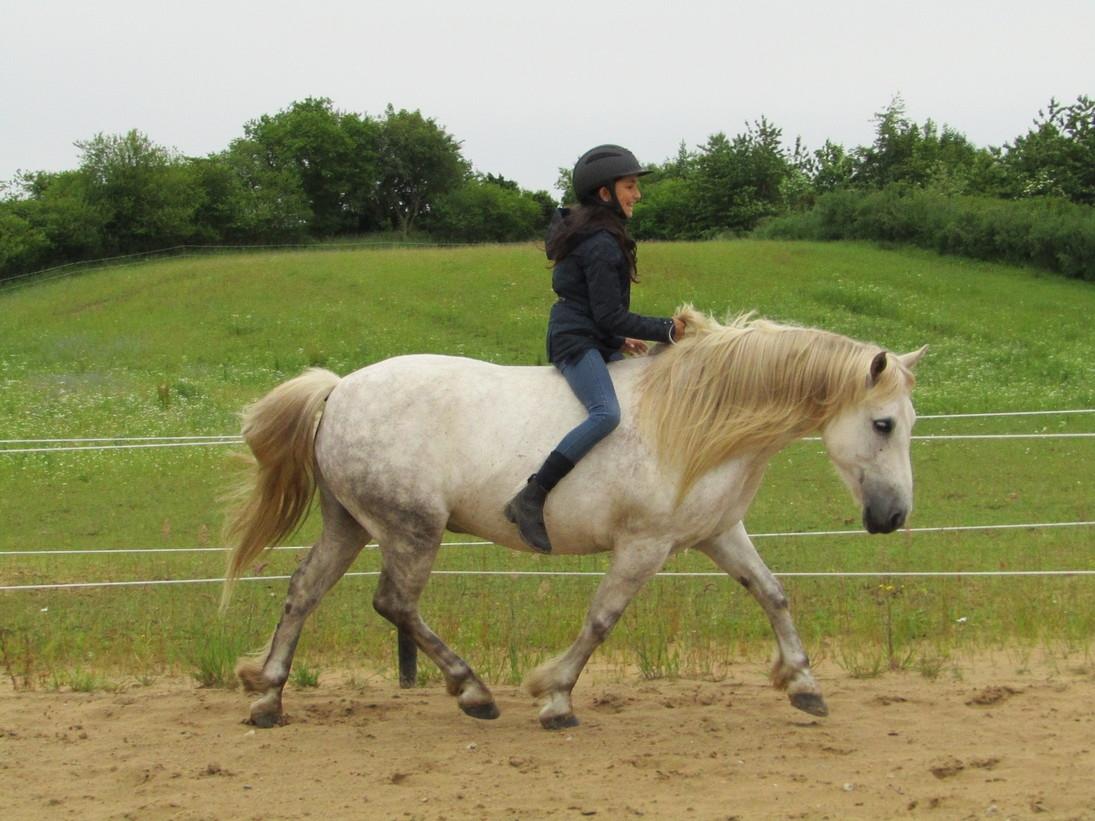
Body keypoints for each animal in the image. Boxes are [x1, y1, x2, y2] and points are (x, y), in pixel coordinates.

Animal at [222, 310, 924, 731]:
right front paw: (555, 696)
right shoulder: (645, 546)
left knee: (305, 591)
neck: (696, 420)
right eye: (883, 425)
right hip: (410, 530)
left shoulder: (718, 534)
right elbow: (602, 619)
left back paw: (269, 696)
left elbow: (773, 594)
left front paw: (804, 685)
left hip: (351, 524)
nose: (892, 517)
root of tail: (339, 390)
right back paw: (473, 691)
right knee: (395, 603)